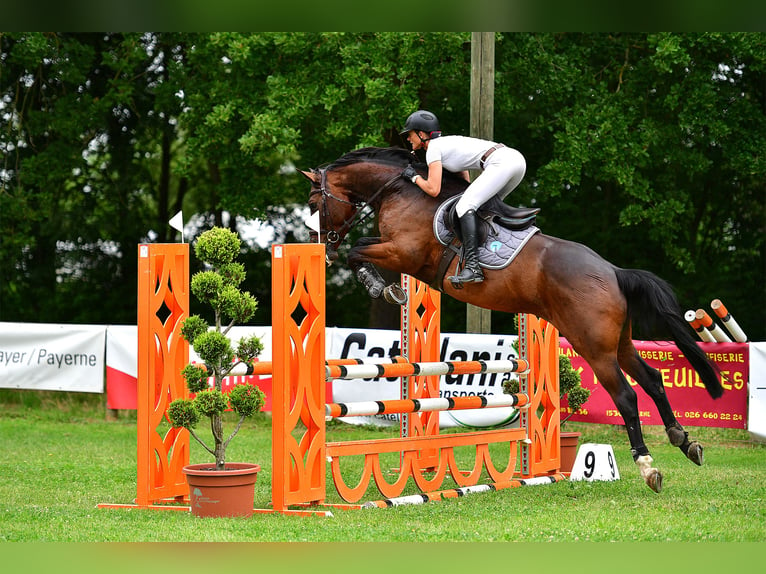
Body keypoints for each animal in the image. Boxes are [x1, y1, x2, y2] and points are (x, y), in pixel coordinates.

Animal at [302, 146, 728, 492]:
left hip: (593, 346)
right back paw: (684, 441)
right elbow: (361, 249)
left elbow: (359, 249)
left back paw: (648, 467)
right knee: (652, 379)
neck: (401, 191)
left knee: (625, 395)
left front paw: (381, 286)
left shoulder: (403, 252)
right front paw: (387, 287)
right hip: (618, 343)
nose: (322, 246)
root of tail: (613, 272)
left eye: (314, 200)